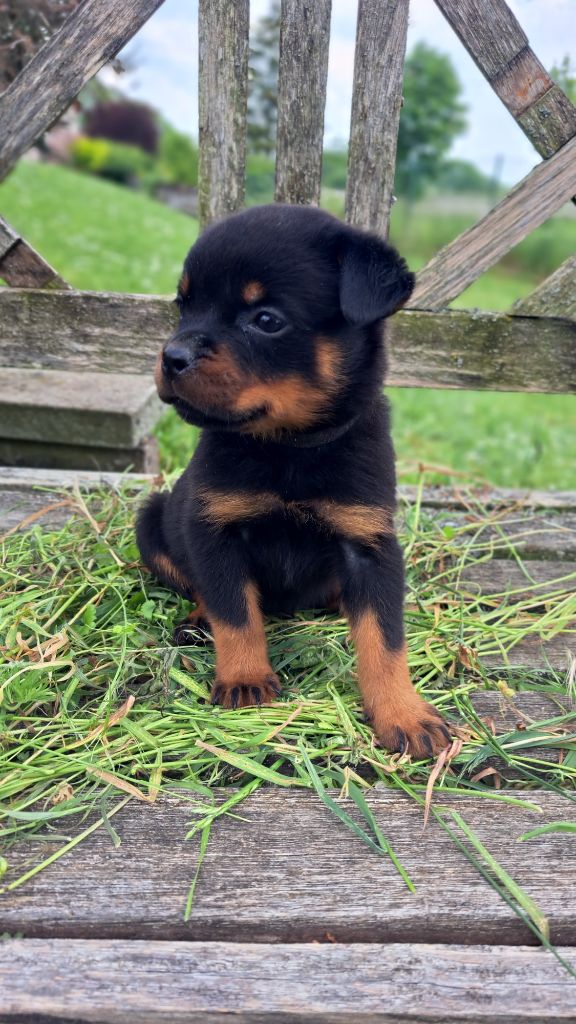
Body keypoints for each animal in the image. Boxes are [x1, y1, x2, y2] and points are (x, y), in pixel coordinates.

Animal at [137, 204, 451, 758]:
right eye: (183, 306)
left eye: (266, 320)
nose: (172, 357)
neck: (289, 447)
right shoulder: (213, 528)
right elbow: (235, 611)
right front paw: (244, 677)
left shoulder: (370, 544)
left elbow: (385, 637)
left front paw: (403, 713)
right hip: (153, 520)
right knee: (201, 589)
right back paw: (198, 621)